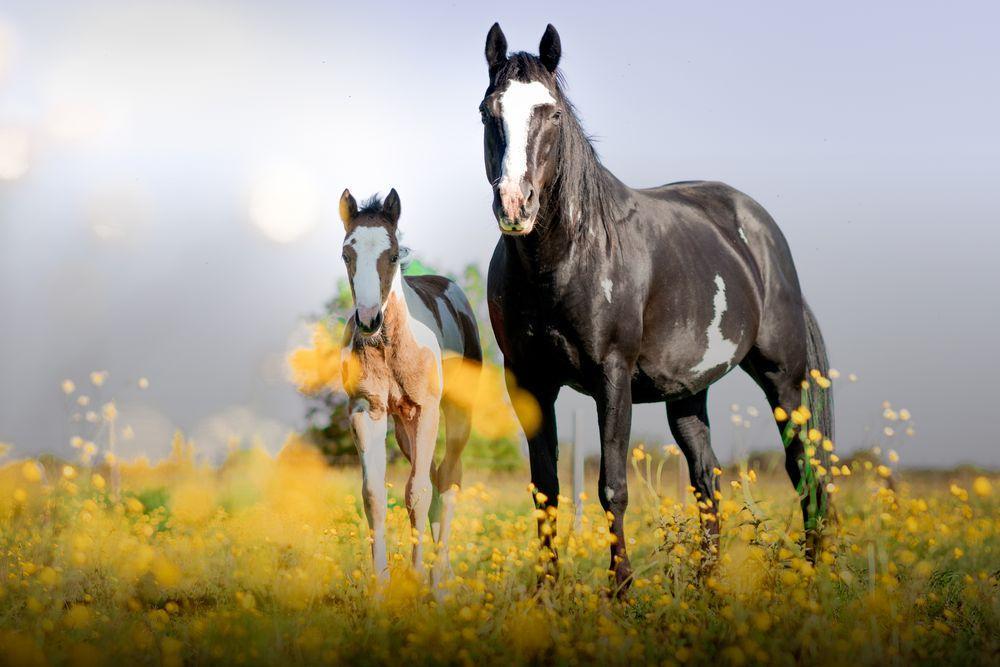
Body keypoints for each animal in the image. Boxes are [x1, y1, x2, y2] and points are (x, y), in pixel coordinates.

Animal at [338, 187, 482, 584]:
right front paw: (381, 586)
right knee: (433, 477)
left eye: (392, 255)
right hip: (403, 427)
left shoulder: (426, 409)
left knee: (447, 479)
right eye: (346, 254)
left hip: (455, 413)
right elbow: (374, 495)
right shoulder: (367, 411)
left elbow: (418, 492)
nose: (368, 320)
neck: (389, 346)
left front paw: (419, 580)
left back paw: (440, 578)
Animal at [484, 24, 836, 596]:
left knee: (803, 469)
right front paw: (544, 594)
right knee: (707, 479)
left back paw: (813, 574)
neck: (570, 256)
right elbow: (546, 490)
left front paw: (621, 591)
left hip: (784, 380)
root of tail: (763, 236)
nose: (516, 205)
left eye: (552, 113)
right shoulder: (529, 383)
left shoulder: (612, 376)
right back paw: (707, 585)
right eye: (487, 111)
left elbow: (612, 486)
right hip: (688, 395)